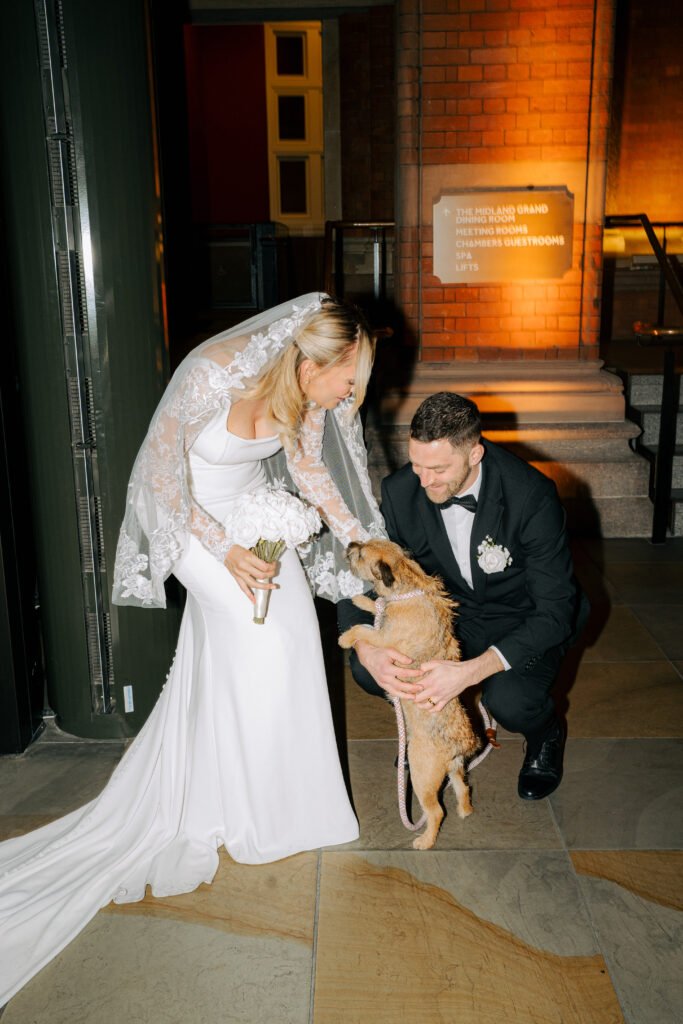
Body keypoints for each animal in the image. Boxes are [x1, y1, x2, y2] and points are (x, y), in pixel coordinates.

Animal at [337, 536, 479, 847]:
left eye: (361, 554)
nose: (351, 543)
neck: (407, 588)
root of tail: (458, 745)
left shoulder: (383, 639)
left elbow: (364, 631)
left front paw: (346, 637)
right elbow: (377, 605)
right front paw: (364, 600)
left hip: (421, 775)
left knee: (436, 812)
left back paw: (425, 841)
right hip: (454, 769)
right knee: (463, 787)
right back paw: (465, 811)